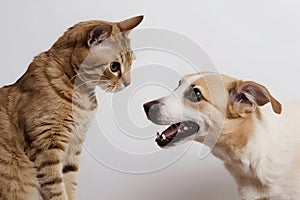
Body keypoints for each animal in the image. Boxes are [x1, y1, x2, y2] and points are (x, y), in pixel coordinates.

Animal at [0, 15, 144, 200]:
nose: (128, 83)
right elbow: (56, 189)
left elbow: (69, 185)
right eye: (114, 66)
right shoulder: (46, 147)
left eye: (131, 63)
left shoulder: (74, 147)